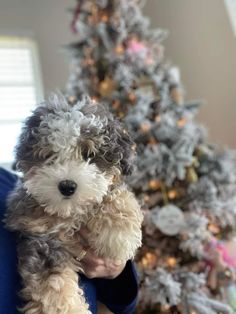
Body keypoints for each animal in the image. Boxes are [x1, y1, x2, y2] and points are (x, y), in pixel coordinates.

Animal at [4, 95, 143, 314]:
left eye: (89, 155)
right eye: (49, 156)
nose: (67, 186)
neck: (69, 212)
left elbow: (113, 194)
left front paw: (119, 235)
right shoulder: (42, 239)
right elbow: (53, 284)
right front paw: (67, 308)